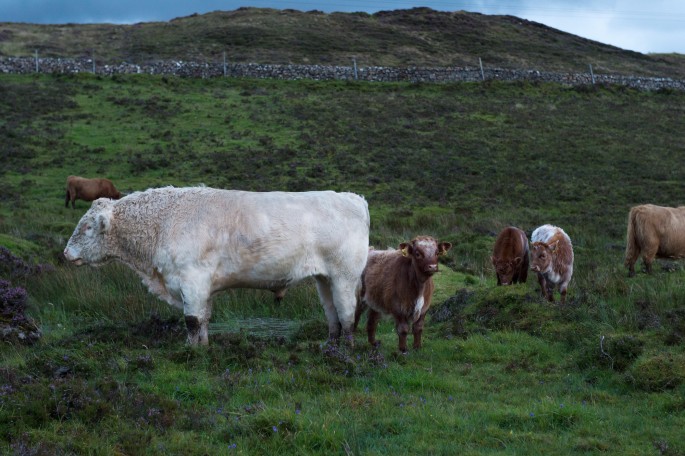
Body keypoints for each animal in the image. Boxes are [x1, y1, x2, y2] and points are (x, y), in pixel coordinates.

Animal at [64, 185, 368, 346]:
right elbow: (204, 319)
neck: (163, 223)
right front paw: (203, 348)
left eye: (88, 227)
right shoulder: (202, 287)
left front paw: (189, 352)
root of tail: (353, 197)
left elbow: (192, 321)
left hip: (344, 276)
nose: (66, 253)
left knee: (347, 315)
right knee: (332, 314)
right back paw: (330, 347)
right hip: (324, 279)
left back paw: (346, 352)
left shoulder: (192, 280)